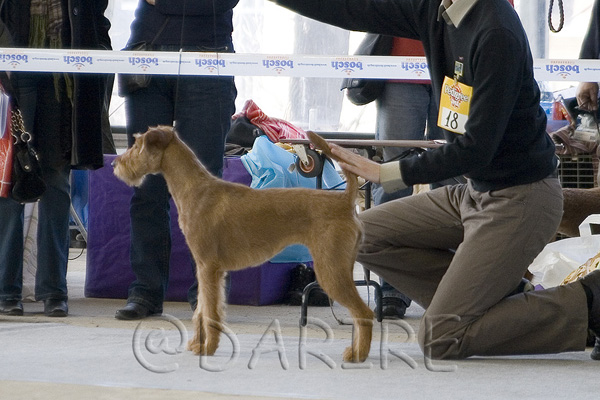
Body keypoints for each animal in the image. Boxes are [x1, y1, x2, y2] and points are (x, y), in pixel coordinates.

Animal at [111, 125, 376, 362]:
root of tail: (344, 201)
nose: (115, 164)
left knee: (364, 312)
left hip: (331, 270)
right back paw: (355, 351)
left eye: (137, 144)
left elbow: (209, 312)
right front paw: (197, 344)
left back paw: (358, 355)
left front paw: (207, 348)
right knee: (360, 313)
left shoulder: (208, 267)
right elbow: (202, 309)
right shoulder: (205, 269)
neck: (195, 190)